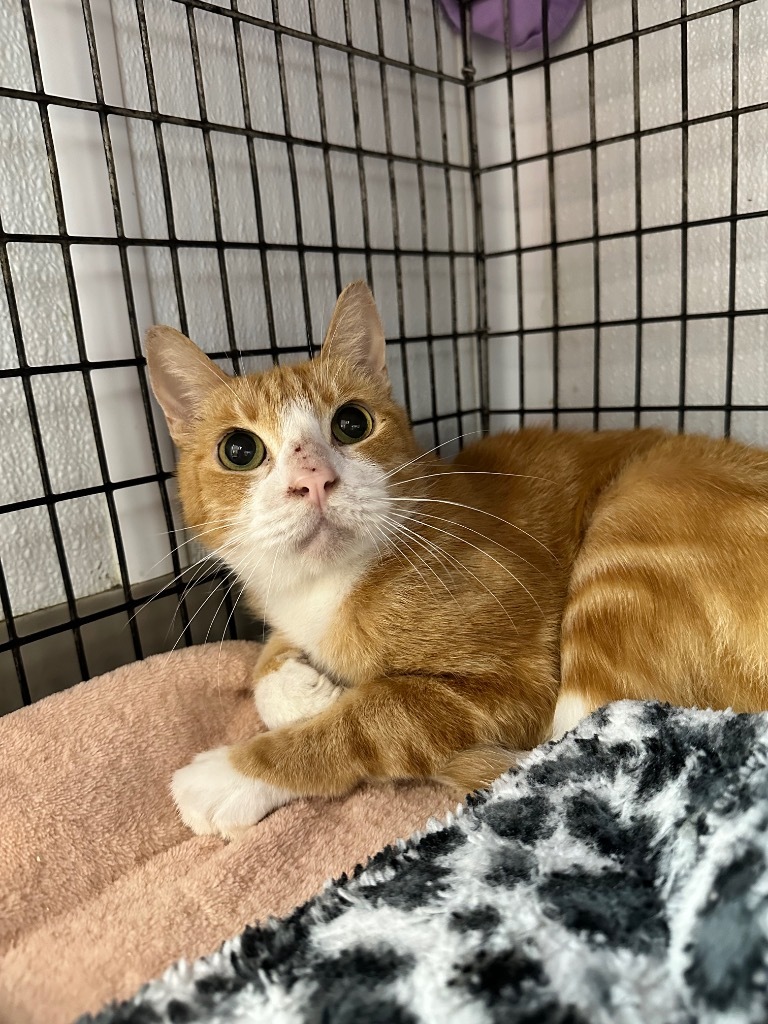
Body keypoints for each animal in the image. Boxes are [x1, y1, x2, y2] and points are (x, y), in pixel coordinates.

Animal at [145, 282, 768, 839]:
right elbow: (265, 666)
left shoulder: (511, 686)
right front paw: (301, 688)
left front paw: (232, 775)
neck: (328, 587)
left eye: (351, 422)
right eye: (240, 450)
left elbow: (374, 715)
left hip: (629, 535)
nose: (313, 479)